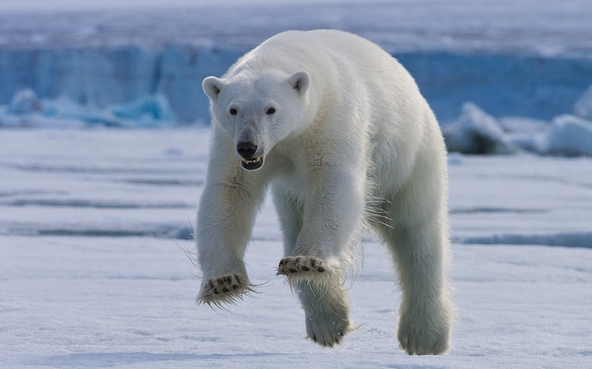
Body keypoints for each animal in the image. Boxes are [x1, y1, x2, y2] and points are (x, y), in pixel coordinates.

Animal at [198, 29, 454, 354]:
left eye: (271, 109)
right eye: (233, 109)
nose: (248, 146)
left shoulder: (331, 121)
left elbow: (333, 183)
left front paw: (305, 261)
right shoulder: (229, 143)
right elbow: (229, 191)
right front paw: (223, 282)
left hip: (411, 158)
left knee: (418, 235)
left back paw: (424, 337)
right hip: (291, 196)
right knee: (294, 223)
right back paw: (328, 323)